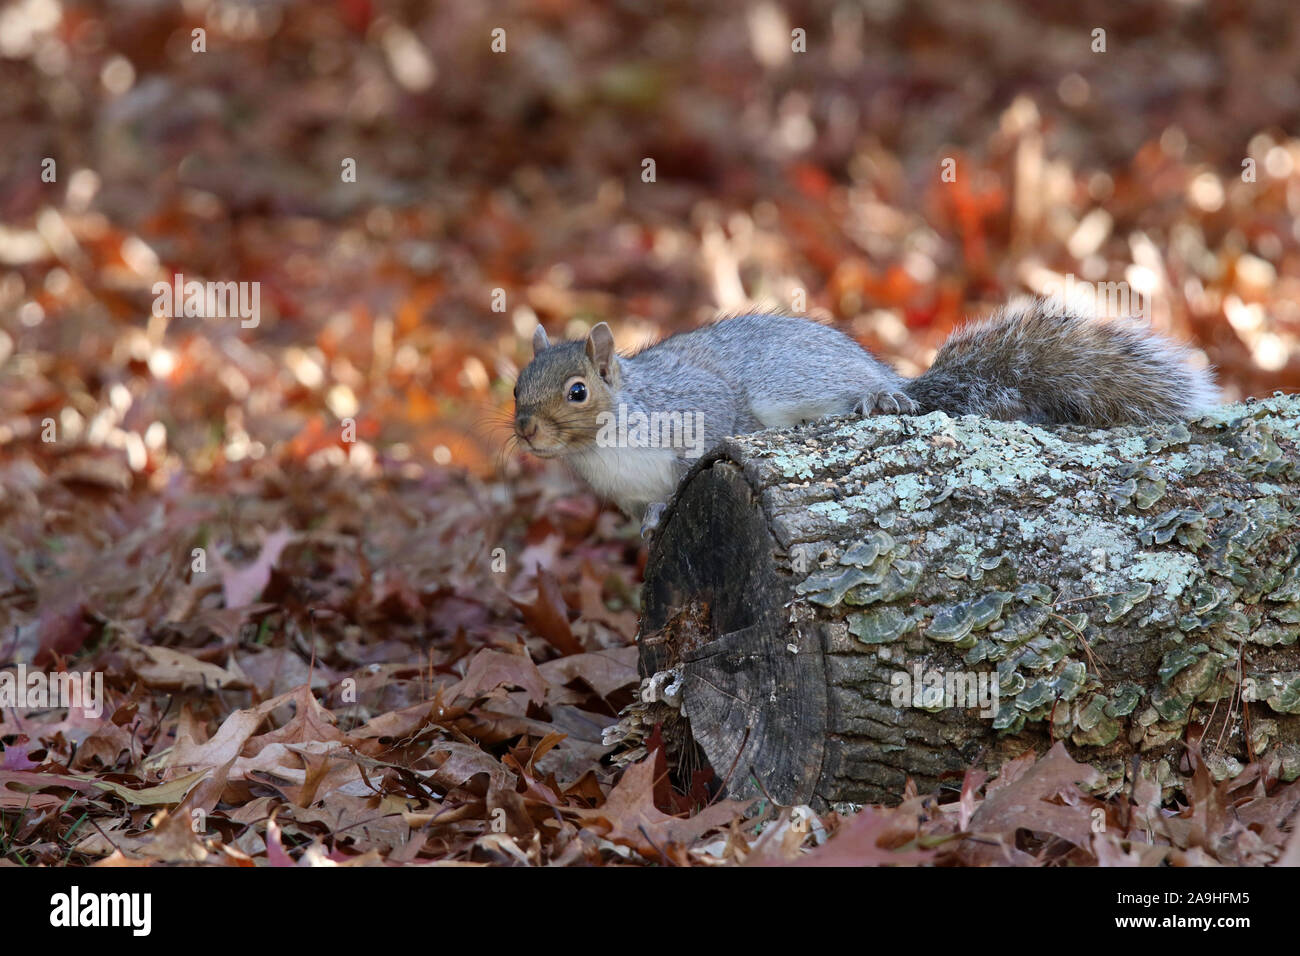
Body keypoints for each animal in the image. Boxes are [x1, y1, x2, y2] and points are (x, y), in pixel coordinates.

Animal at [512, 299, 1219, 531]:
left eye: (577, 391)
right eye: (517, 386)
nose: (524, 431)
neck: (606, 444)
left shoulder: (697, 408)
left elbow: (711, 439)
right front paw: (656, 518)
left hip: (799, 378)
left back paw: (882, 399)